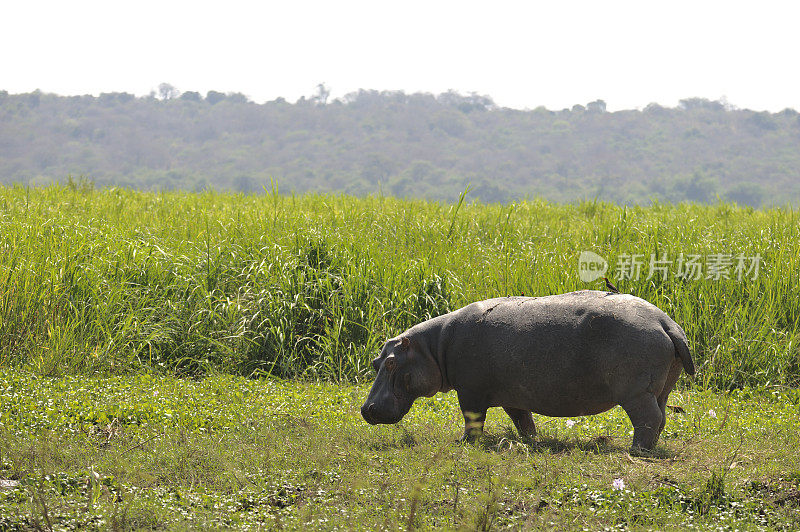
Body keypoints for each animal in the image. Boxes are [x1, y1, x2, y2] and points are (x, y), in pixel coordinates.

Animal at [362, 290, 692, 454]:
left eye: (391, 362)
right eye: (376, 362)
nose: (366, 409)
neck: (433, 347)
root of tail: (666, 322)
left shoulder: (470, 393)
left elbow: (472, 420)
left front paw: (462, 444)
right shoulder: (514, 396)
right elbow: (523, 421)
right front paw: (532, 442)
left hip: (635, 392)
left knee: (648, 418)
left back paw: (636, 451)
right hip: (660, 389)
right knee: (661, 417)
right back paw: (647, 447)